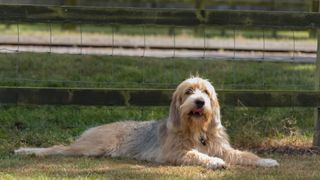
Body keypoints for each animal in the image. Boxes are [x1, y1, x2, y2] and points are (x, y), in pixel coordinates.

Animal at [15, 77, 278, 169]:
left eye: (206, 92)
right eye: (189, 91)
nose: (200, 102)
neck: (197, 131)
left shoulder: (223, 148)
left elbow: (244, 154)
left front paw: (265, 161)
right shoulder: (177, 153)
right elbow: (198, 155)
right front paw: (213, 162)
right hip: (89, 147)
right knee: (57, 148)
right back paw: (27, 151)